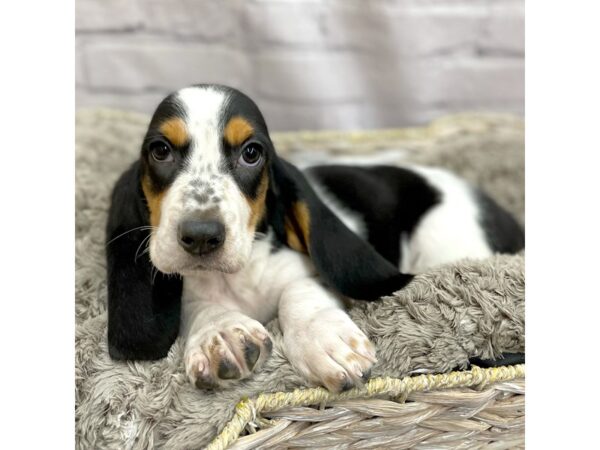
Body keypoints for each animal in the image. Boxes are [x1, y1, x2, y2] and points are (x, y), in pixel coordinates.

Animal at [105, 83, 524, 390]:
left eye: (252, 153)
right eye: (160, 150)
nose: (201, 235)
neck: (236, 279)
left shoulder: (305, 274)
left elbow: (299, 289)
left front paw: (325, 339)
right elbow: (199, 307)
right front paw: (221, 334)